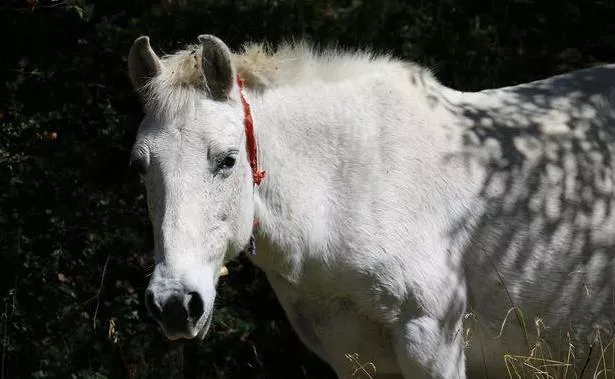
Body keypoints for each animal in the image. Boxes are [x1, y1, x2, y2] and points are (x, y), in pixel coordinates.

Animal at [127, 34, 612, 378]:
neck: (350, 187)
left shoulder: (432, 345)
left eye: (227, 160)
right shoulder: (354, 359)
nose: (174, 304)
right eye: (139, 165)